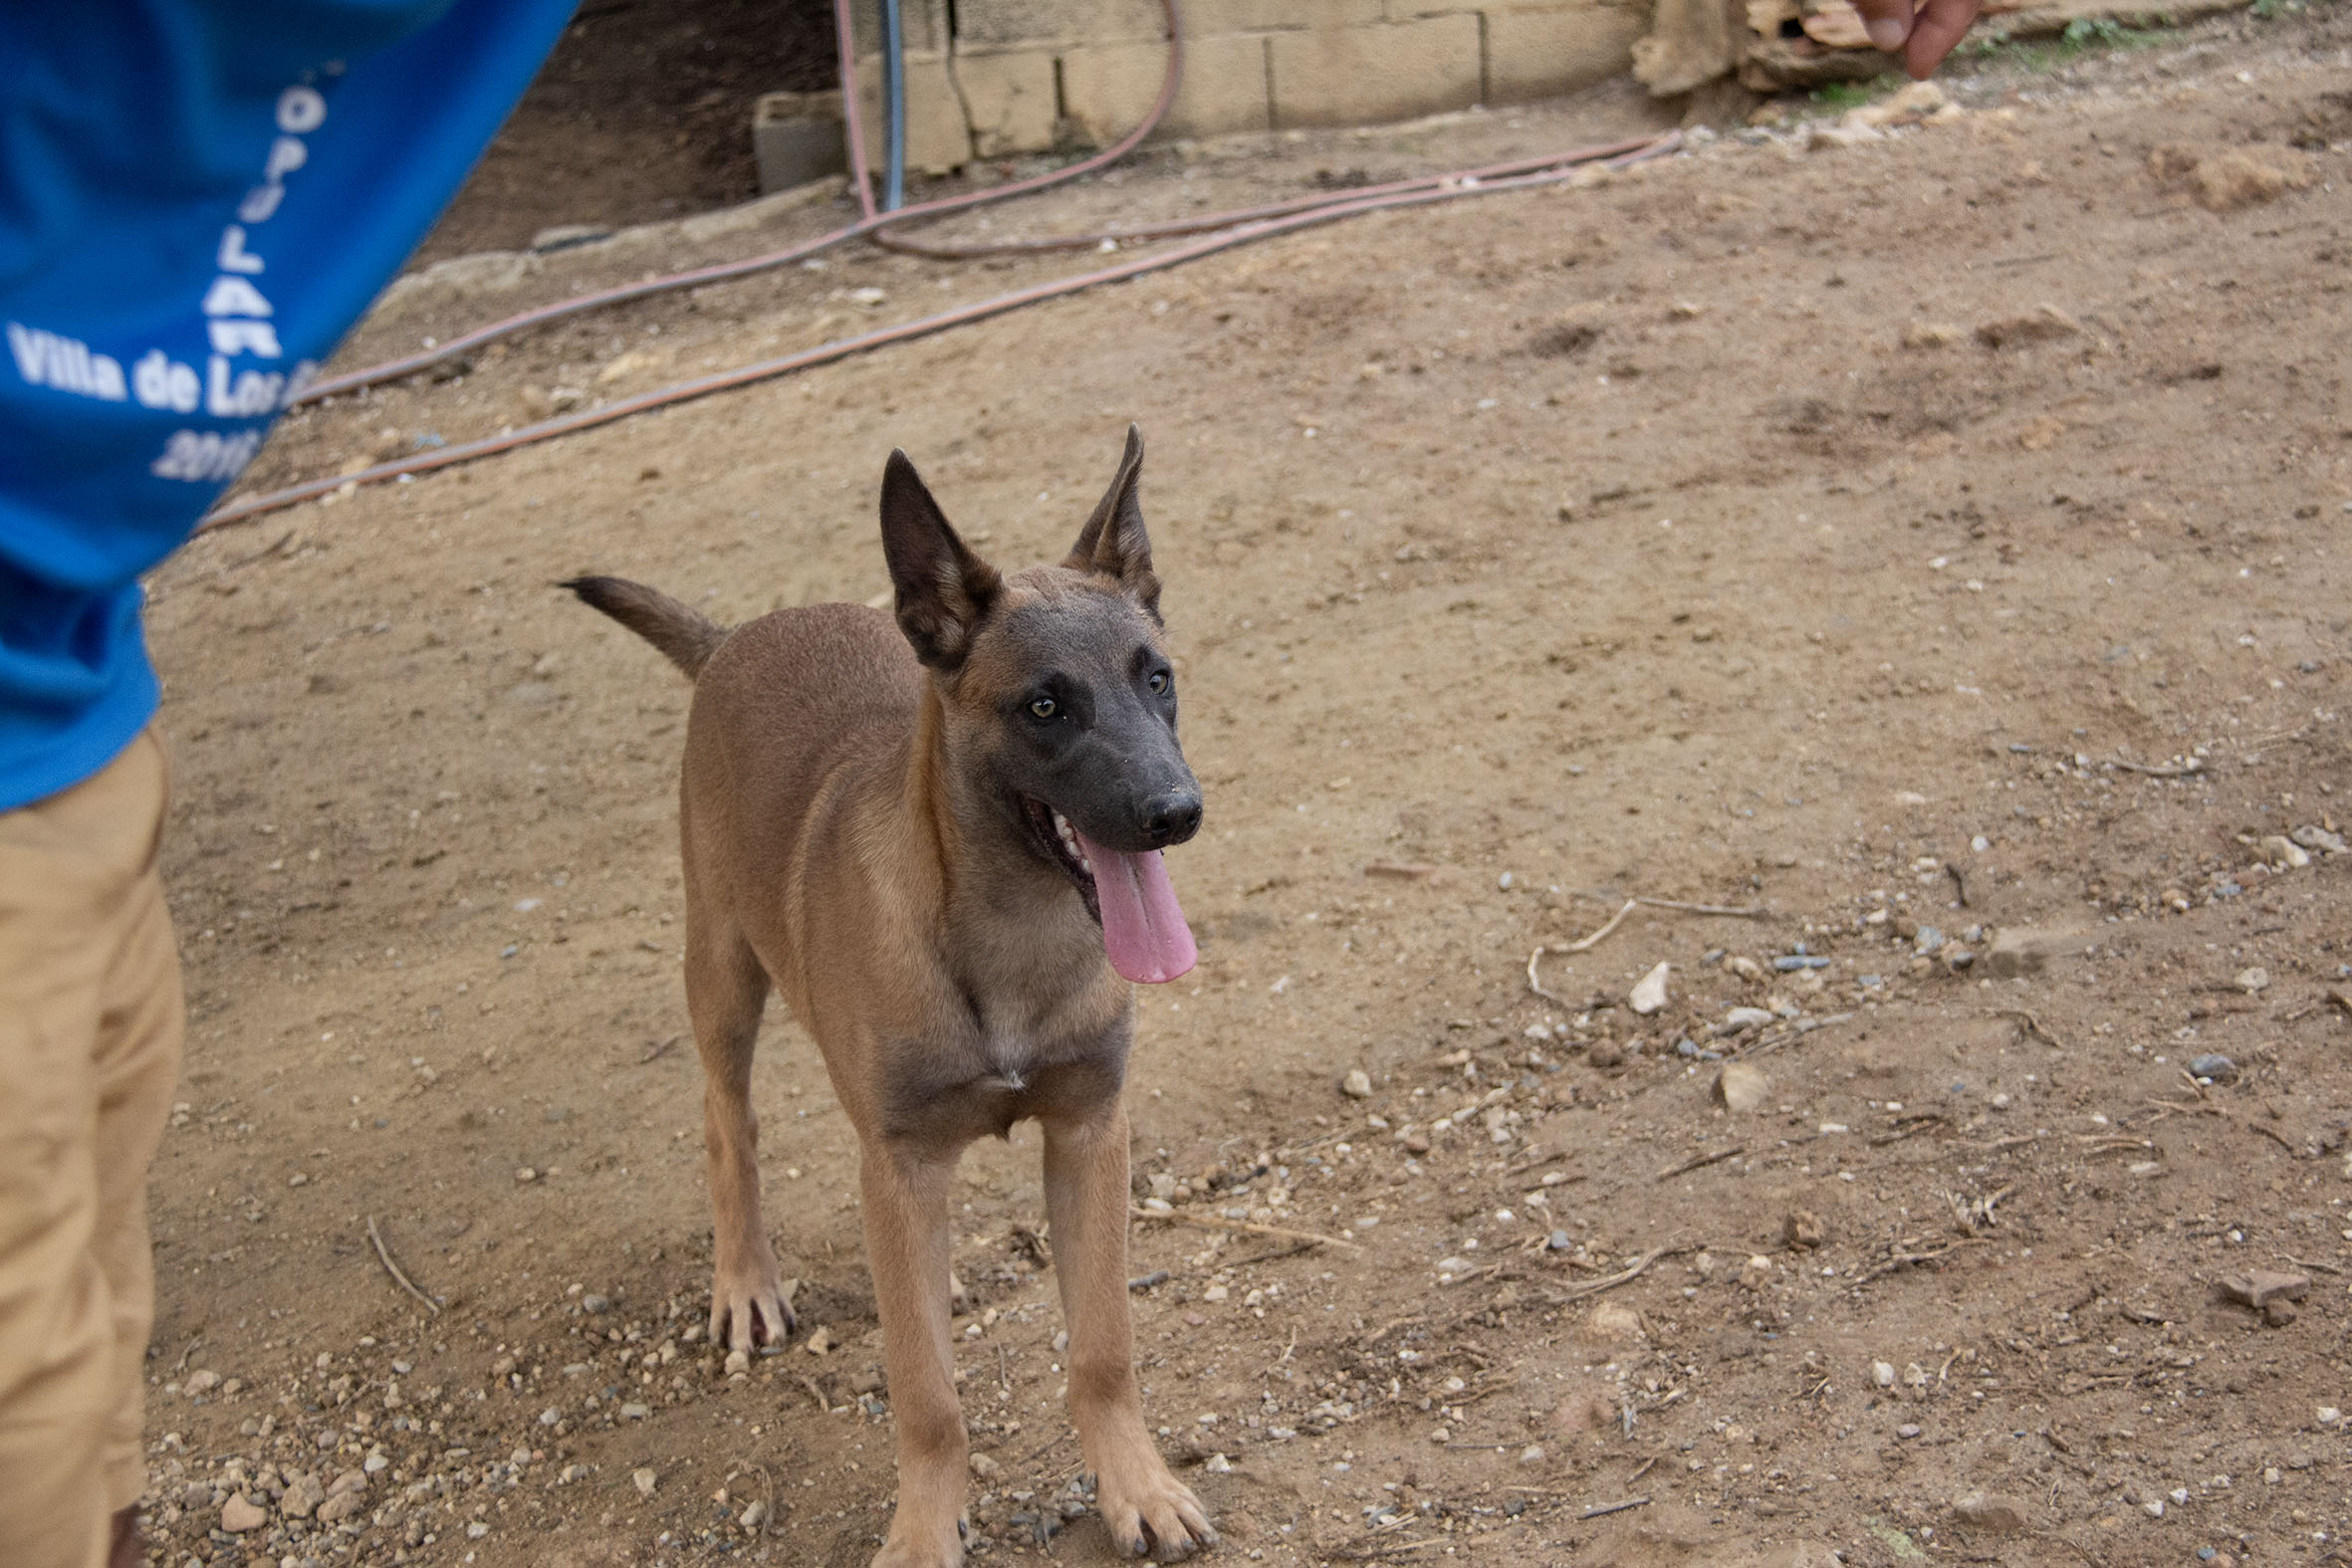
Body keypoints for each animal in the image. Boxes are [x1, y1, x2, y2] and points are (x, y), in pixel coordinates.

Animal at [565, 426, 1215, 1565]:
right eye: (1044, 704)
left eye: (1158, 678)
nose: (1175, 813)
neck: (1009, 935)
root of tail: (738, 634)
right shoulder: (900, 1159)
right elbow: (926, 1393)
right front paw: (922, 1527)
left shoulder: (1090, 1132)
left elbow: (1101, 1346)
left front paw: (1135, 1481)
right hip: (721, 969)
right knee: (726, 1121)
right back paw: (746, 1281)